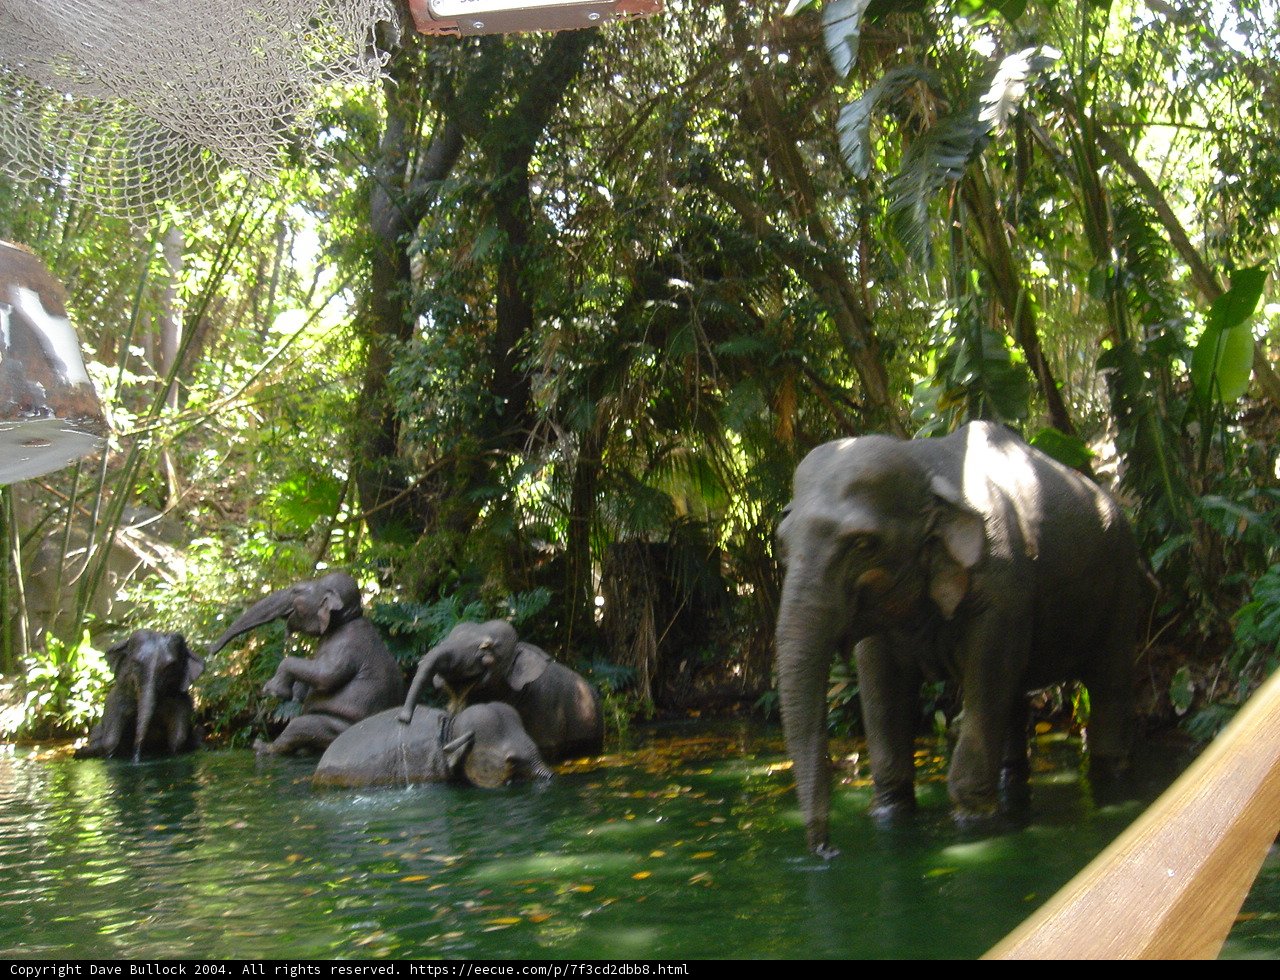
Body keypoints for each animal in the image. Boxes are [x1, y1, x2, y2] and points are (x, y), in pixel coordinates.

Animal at [78, 630, 203, 761]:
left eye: (170, 667)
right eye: (135, 663)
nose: (136, 759)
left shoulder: (182, 703)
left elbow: (178, 739)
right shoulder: (115, 700)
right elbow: (110, 741)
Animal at [209, 571, 405, 755]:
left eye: (296, 591)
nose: (211, 651)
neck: (347, 617)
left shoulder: (346, 645)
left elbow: (326, 675)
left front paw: (274, 691)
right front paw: (294, 693)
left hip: (339, 728)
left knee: (299, 726)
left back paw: (262, 747)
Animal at [775, 421, 1146, 856]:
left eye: (864, 544)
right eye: (782, 542)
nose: (825, 851)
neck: (924, 465)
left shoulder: (1002, 587)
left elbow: (987, 676)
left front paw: (973, 821)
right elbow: (880, 684)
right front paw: (888, 814)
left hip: (1123, 580)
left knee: (1108, 684)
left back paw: (1111, 781)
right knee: (1014, 697)